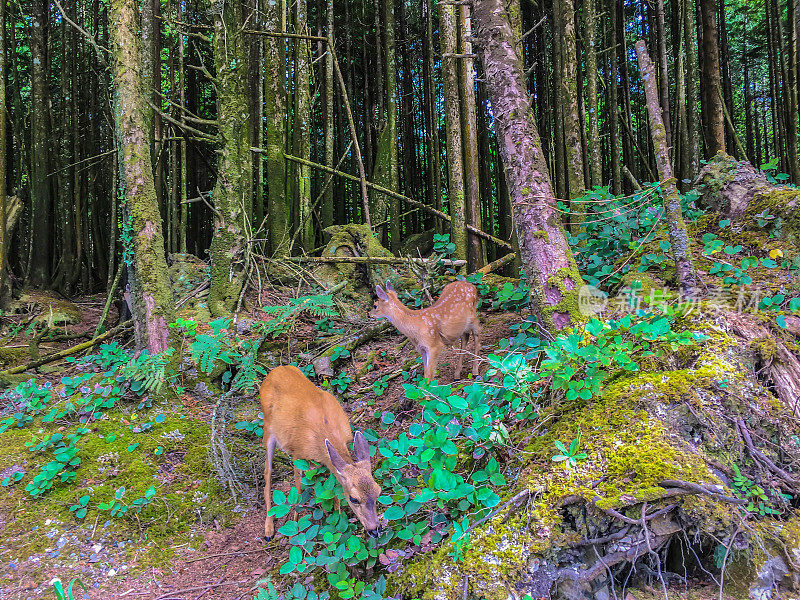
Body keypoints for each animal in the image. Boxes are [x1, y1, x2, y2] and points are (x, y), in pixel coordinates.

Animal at [256, 364, 382, 540]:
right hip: (267, 428)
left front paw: (338, 516)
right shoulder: (297, 453)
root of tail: (274, 370)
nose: (375, 530)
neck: (325, 431)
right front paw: (295, 527)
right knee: (267, 471)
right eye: (354, 499)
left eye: (379, 492)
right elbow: (299, 490)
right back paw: (268, 529)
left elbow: (333, 486)